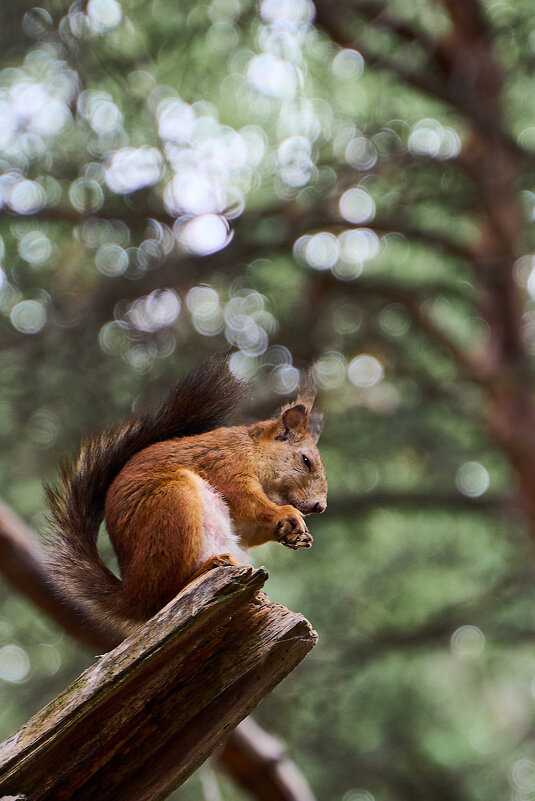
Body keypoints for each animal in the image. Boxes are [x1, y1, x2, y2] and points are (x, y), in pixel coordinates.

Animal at [46, 356, 328, 632]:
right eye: (306, 461)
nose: (320, 506)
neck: (251, 450)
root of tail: (132, 594)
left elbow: (250, 527)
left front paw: (297, 536)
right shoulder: (224, 464)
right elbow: (247, 501)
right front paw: (286, 514)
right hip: (173, 503)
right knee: (168, 593)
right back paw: (206, 568)